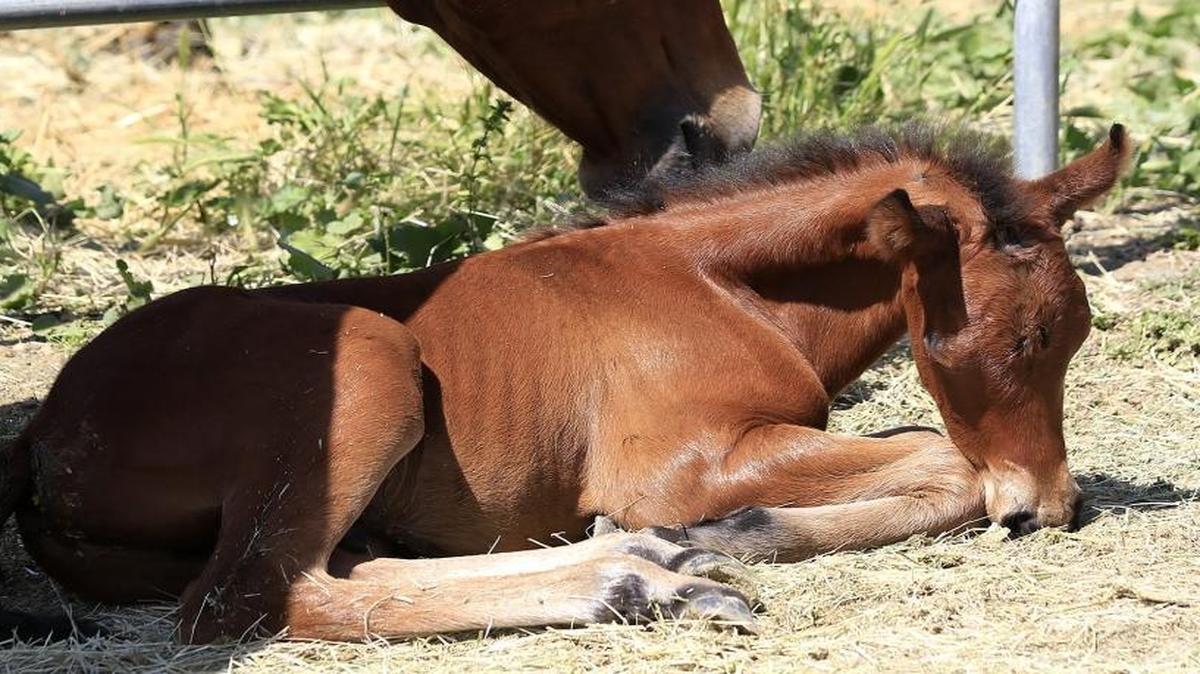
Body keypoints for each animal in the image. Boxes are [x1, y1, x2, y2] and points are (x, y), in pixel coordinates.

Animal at [0, 122, 1129, 642]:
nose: (1051, 508)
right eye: (985, 341)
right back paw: (635, 577)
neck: (713, 280)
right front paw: (735, 534)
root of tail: (42, 436)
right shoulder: (678, 464)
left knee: (344, 568)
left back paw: (652, 564)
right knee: (249, 596)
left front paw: (709, 541)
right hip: (365, 365)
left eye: (1069, 335)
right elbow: (945, 460)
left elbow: (932, 457)